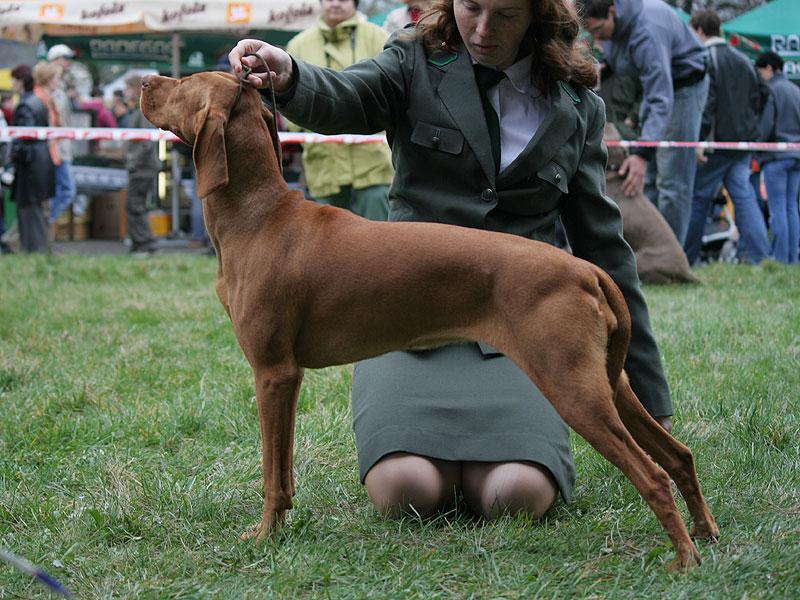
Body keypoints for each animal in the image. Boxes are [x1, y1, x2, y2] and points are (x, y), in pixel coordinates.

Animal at [139, 72, 720, 568]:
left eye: (184, 84)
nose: (144, 81)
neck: (259, 218)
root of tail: (584, 269)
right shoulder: (289, 376)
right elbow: (283, 471)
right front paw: (277, 531)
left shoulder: (273, 372)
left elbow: (271, 474)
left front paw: (264, 537)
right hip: (609, 381)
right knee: (679, 455)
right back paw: (707, 533)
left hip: (573, 389)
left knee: (651, 474)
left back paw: (684, 557)